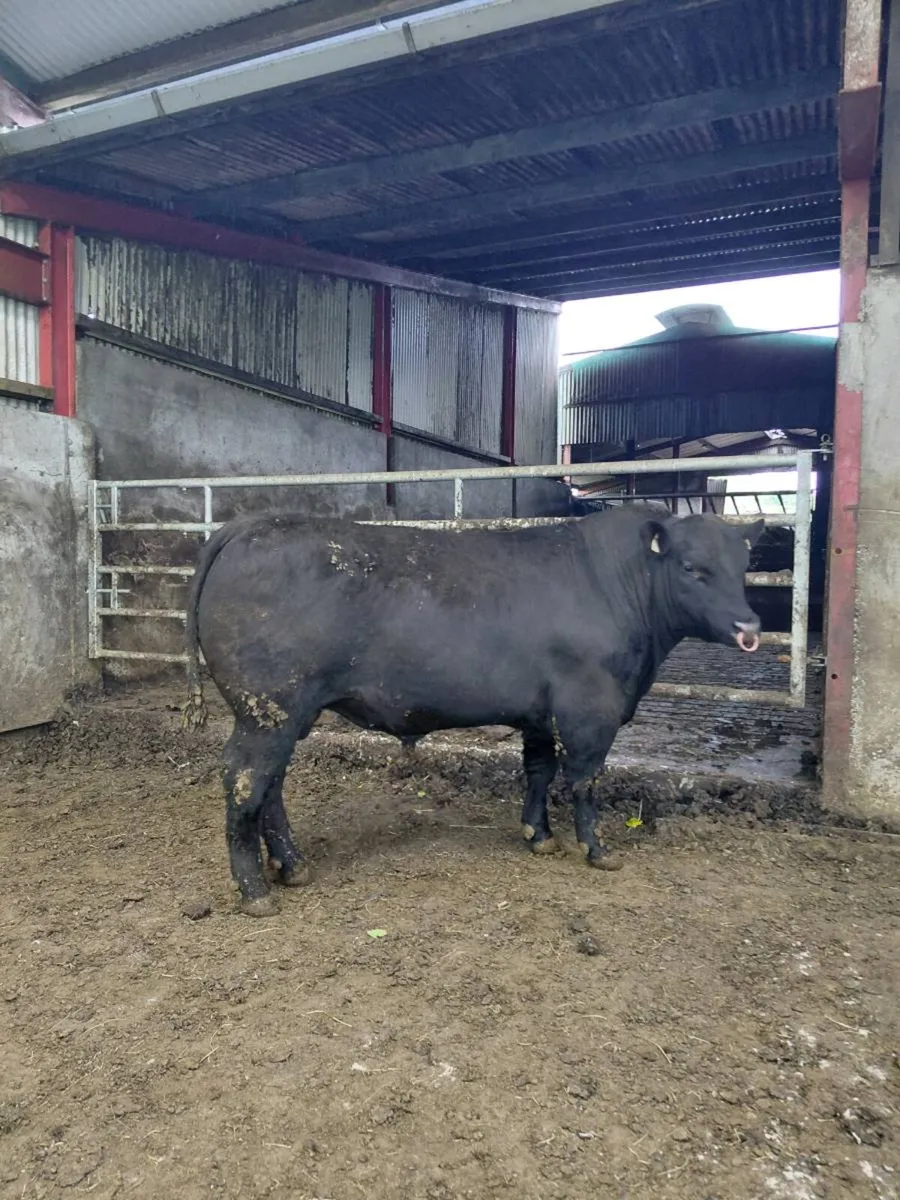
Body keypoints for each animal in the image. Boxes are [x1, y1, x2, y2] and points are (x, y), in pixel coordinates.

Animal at [182, 505, 764, 916]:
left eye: (743, 567)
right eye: (692, 567)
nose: (749, 627)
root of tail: (250, 524)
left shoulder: (540, 713)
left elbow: (538, 771)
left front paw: (539, 836)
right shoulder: (588, 711)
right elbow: (584, 780)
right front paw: (596, 850)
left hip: (284, 716)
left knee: (271, 784)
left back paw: (292, 865)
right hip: (267, 710)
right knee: (245, 781)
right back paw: (255, 890)